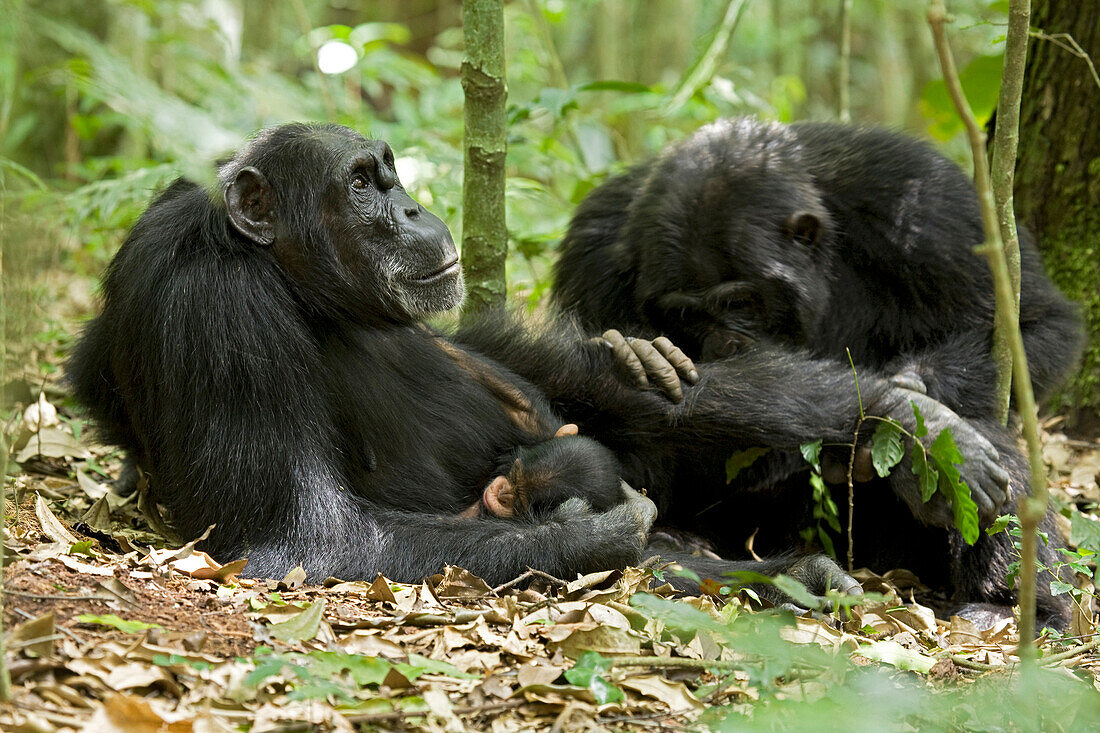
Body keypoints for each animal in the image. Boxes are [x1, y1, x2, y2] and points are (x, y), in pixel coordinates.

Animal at [68, 122, 1007, 607]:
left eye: (388, 170)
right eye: (361, 184)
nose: (412, 205)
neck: (293, 276)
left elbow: (583, 391)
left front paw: (910, 419)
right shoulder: (219, 312)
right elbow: (306, 535)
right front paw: (602, 530)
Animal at [550, 117, 1082, 625]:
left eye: (740, 302)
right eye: (685, 314)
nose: (725, 343)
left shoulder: (932, 206)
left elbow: (1035, 323)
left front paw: (915, 420)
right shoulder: (590, 257)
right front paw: (639, 356)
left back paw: (1009, 605)